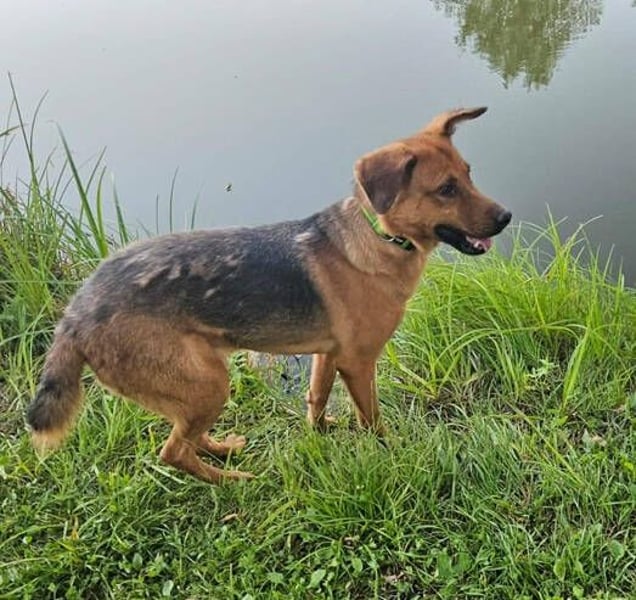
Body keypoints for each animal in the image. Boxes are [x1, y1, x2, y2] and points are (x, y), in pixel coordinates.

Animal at [26, 107, 511, 484]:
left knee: (186, 435)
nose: (506, 217)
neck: (380, 236)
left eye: (468, 175)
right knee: (173, 450)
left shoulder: (327, 355)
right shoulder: (359, 363)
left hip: (199, 384)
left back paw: (223, 449)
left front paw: (321, 434)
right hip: (208, 382)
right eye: (445, 189)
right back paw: (232, 480)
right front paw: (391, 450)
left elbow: (316, 399)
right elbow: (372, 419)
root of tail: (75, 314)